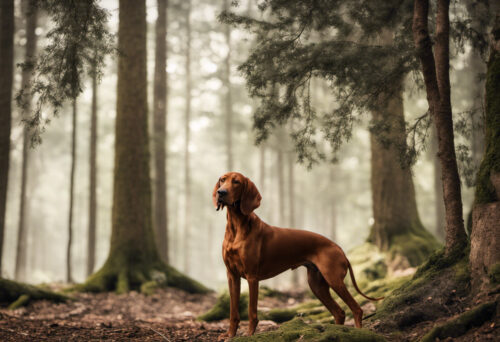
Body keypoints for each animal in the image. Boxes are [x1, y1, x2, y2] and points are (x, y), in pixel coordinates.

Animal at [212, 172, 382, 338]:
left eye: (237, 182)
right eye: (222, 180)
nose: (221, 192)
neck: (236, 228)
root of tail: (339, 248)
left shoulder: (252, 277)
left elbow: (252, 312)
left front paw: (249, 335)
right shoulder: (232, 275)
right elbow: (233, 312)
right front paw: (230, 335)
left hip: (334, 279)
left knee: (356, 309)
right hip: (317, 285)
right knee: (339, 312)